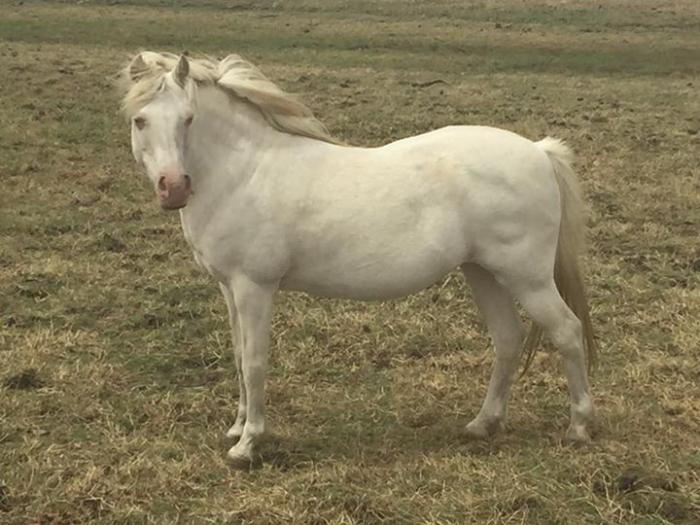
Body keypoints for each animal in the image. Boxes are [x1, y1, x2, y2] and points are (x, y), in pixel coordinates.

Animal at [117, 52, 597, 469]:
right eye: (140, 120)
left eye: (188, 119)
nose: (174, 187)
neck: (245, 173)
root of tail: (538, 151)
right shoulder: (228, 287)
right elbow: (238, 357)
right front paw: (236, 429)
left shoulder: (254, 287)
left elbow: (254, 363)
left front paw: (248, 445)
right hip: (483, 273)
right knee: (508, 339)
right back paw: (483, 424)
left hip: (527, 278)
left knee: (567, 332)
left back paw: (579, 427)